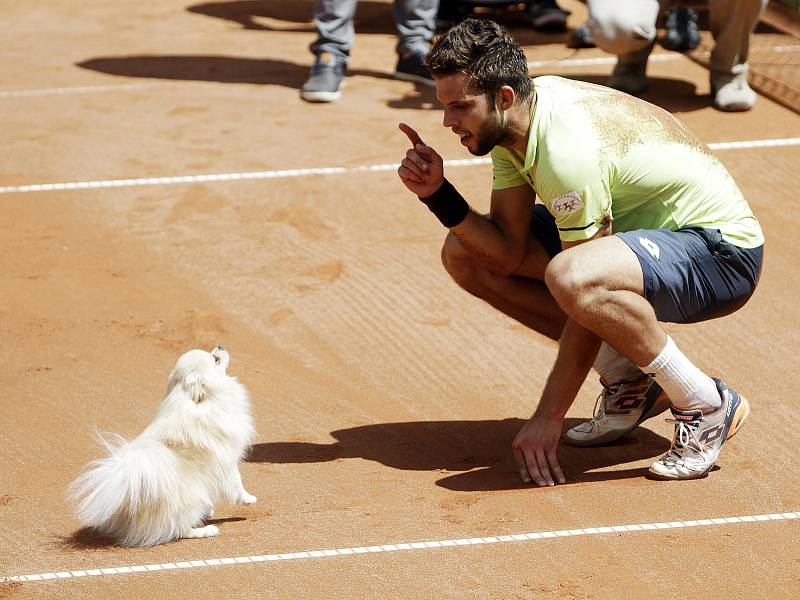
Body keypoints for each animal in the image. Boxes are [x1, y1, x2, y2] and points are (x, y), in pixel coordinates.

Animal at [70, 344, 256, 548]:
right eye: (215, 359)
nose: (220, 346)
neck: (194, 400)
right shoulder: (227, 461)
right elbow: (237, 483)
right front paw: (249, 499)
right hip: (189, 503)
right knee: (180, 530)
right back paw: (207, 530)